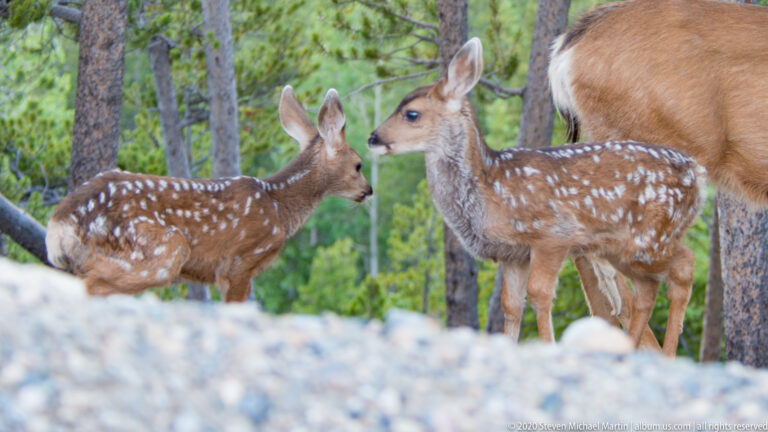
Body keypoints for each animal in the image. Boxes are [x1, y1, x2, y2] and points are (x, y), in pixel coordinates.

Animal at [46, 86, 372, 301]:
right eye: (358, 165)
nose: (368, 191)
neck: (279, 206)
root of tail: (59, 222)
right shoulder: (240, 262)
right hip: (159, 249)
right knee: (92, 286)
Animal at [368, 37, 706, 356]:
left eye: (411, 114)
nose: (373, 138)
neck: (491, 191)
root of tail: (697, 173)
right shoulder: (512, 254)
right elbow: (511, 304)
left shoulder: (553, 234)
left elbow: (540, 295)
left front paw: (548, 344)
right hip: (624, 247)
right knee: (647, 290)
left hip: (651, 235)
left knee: (683, 266)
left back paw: (668, 353)